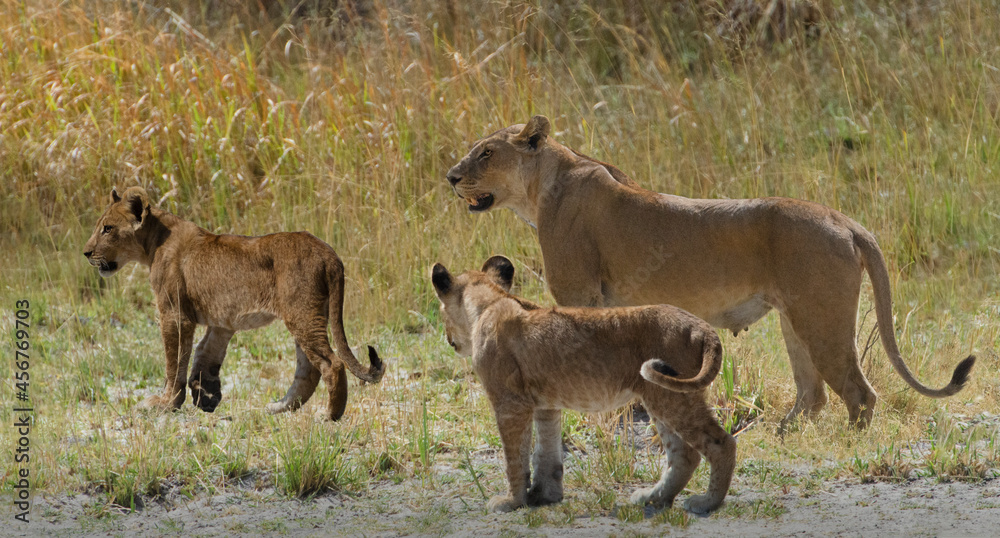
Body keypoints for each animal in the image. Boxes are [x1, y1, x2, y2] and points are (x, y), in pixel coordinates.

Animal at [83, 187, 384, 420]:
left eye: (107, 229)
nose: (86, 253)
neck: (153, 242)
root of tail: (330, 253)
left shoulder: (174, 314)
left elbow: (174, 361)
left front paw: (166, 403)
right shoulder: (222, 321)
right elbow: (205, 354)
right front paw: (206, 396)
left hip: (302, 314)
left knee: (332, 364)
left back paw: (330, 415)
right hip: (309, 314)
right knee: (308, 369)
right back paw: (280, 407)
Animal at [431, 255, 736, 515]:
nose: (448, 339)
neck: (491, 301)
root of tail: (703, 327)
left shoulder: (509, 403)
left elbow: (514, 458)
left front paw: (512, 501)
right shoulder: (545, 404)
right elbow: (546, 452)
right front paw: (545, 496)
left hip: (672, 395)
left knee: (720, 443)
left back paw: (707, 502)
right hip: (664, 395)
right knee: (684, 454)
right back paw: (653, 498)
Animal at [445, 115, 975, 430]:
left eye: (486, 153)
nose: (451, 176)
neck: (542, 189)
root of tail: (845, 220)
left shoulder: (579, 291)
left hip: (821, 318)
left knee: (859, 393)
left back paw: (845, 441)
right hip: (796, 320)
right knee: (814, 393)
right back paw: (777, 434)